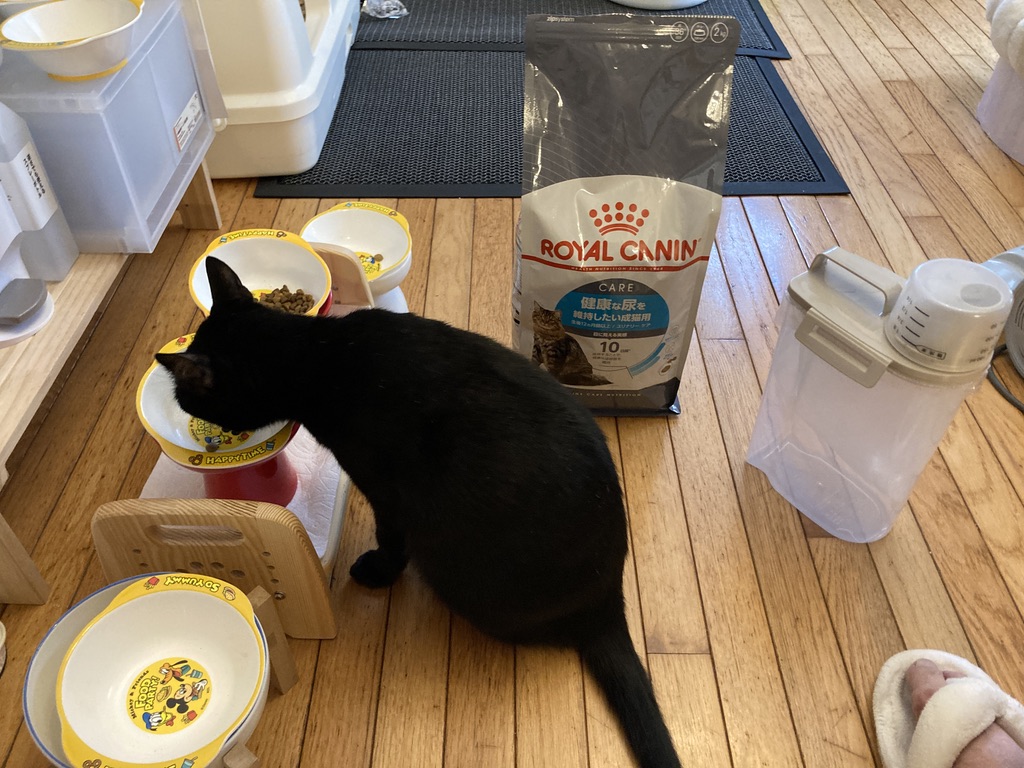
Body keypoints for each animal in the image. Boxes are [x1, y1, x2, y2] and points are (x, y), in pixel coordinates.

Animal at [156, 257, 681, 768]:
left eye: (188, 396)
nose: (181, 402)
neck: (317, 356)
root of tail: (609, 602)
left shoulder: (386, 492)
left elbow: (390, 538)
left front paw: (378, 571)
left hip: (459, 572)